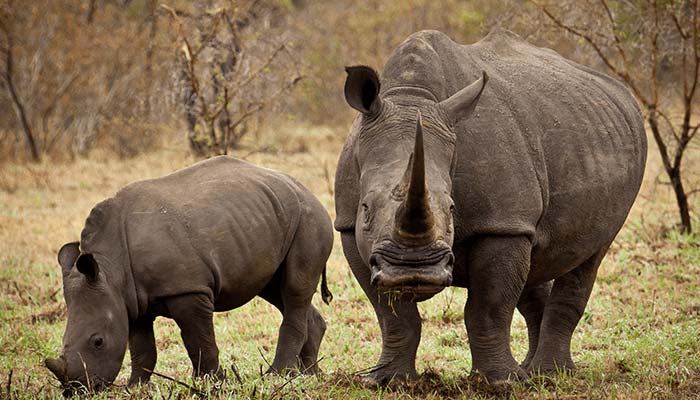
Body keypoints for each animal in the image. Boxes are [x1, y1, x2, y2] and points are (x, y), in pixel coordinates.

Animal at [45, 156, 333, 394]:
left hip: (310, 219)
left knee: (294, 288)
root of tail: (306, 189)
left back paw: (278, 375)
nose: (77, 390)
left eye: (98, 342)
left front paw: (212, 382)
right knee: (277, 290)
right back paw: (309, 375)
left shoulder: (187, 289)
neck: (110, 269)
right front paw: (136, 387)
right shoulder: (131, 300)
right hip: (272, 217)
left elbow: (198, 339)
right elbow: (141, 347)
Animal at [335, 29, 646, 384]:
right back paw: (531, 372)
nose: (413, 270)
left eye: (452, 208)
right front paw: (387, 382)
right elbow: (393, 315)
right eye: (366, 209)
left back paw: (550, 375)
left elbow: (488, 308)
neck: (413, 97)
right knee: (535, 264)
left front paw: (499, 384)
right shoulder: (349, 227)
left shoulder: (502, 224)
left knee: (590, 255)